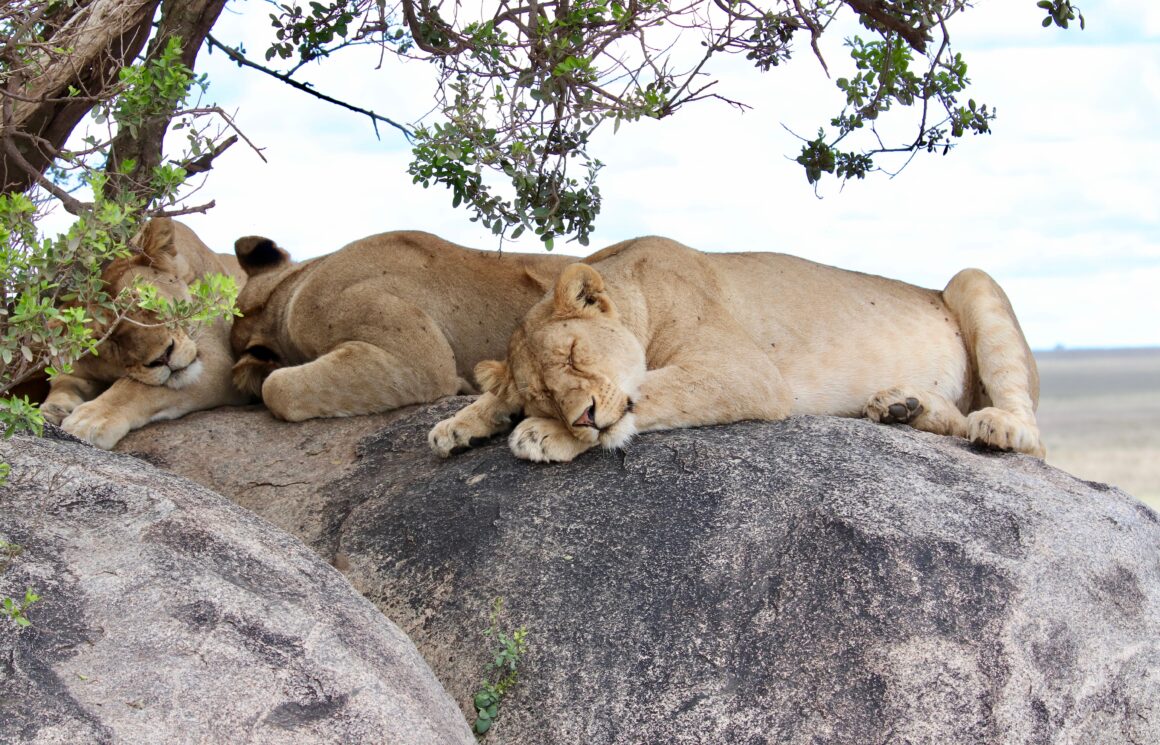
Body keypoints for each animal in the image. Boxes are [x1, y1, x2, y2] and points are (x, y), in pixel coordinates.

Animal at [41, 218, 250, 449]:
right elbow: (63, 383)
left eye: (147, 301)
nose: (164, 357)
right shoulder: (73, 367)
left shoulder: (219, 359)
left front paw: (90, 419)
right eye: (109, 338)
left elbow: (136, 388)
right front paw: (51, 410)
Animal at [429, 236, 1046, 463]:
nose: (580, 416)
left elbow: (649, 390)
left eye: (575, 356)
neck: (637, 292)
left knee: (1030, 437)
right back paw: (903, 406)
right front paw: (458, 424)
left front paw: (542, 437)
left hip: (972, 280)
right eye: (544, 394)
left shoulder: (746, 370)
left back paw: (998, 426)